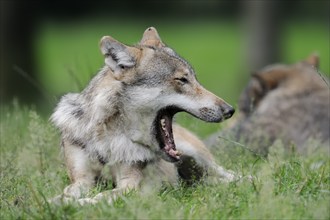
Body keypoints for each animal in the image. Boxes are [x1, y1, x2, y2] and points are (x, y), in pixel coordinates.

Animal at [49, 27, 237, 205]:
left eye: (194, 79)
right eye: (182, 80)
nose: (230, 110)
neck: (107, 139)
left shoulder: (129, 184)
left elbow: (102, 196)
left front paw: (82, 203)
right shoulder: (82, 180)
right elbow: (66, 193)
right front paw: (53, 203)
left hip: (202, 160)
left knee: (232, 175)